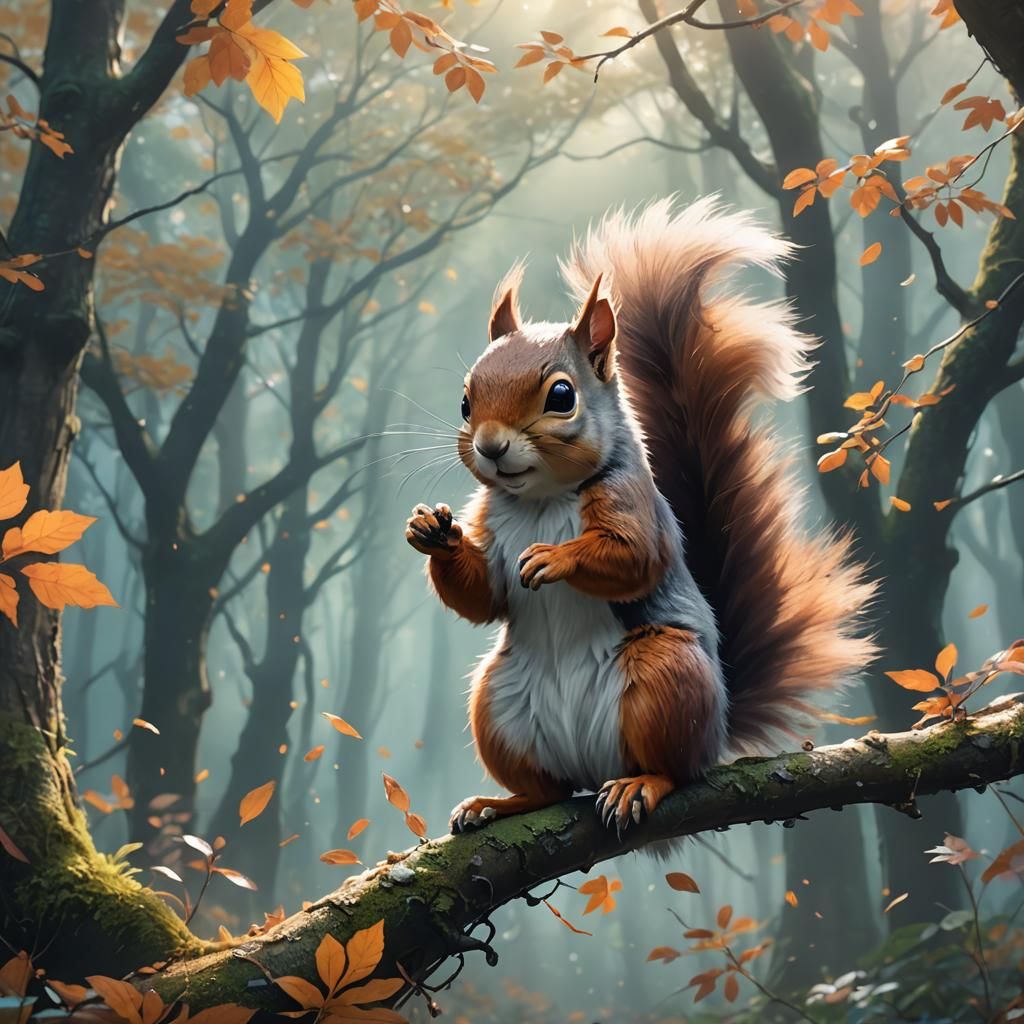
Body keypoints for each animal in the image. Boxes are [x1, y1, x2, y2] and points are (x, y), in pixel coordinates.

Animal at [405, 198, 876, 834]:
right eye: (464, 402)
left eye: (561, 397)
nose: (490, 446)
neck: (542, 499)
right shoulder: (491, 525)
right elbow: (486, 596)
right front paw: (433, 534)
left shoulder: (633, 503)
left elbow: (634, 558)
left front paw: (554, 558)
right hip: (497, 705)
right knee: (547, 791)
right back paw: (499, 803)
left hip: (666, 675)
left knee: (673, 767)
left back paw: (641, 784)